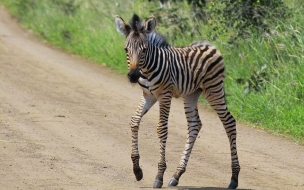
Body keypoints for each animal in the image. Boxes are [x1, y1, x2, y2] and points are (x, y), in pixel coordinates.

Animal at [114, 13, 240, 189]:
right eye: (126, 49)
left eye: (144, 50)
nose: (133, 76)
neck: (147, 69)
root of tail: (210, 46)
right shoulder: (148, 95)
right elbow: (134, 120)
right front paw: (137, 170)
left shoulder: (165, 95)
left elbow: (161, 129)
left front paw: (159, 176)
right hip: (191, 94)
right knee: (194, 125)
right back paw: (177, 175)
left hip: (213, 90)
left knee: (229, 122)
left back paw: (234, 178)